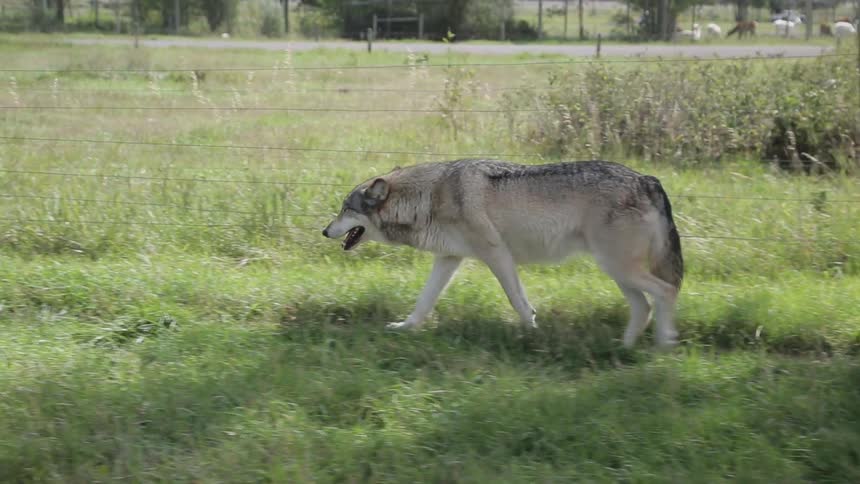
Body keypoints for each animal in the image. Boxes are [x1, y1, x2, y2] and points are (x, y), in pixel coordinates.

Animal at [322, 159, 683, 348]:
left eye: (345, 209)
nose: (325, 231)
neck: (427, 198)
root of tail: (647, 179)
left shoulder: (497, 255)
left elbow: (518, 301)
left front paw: (532, 334)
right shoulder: (448, 259)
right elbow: (423, 303)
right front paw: (404, 328)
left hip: (618, 268)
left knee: (667, 291)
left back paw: (664, 344)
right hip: (616, 271)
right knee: (644, 306)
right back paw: (624, 348)